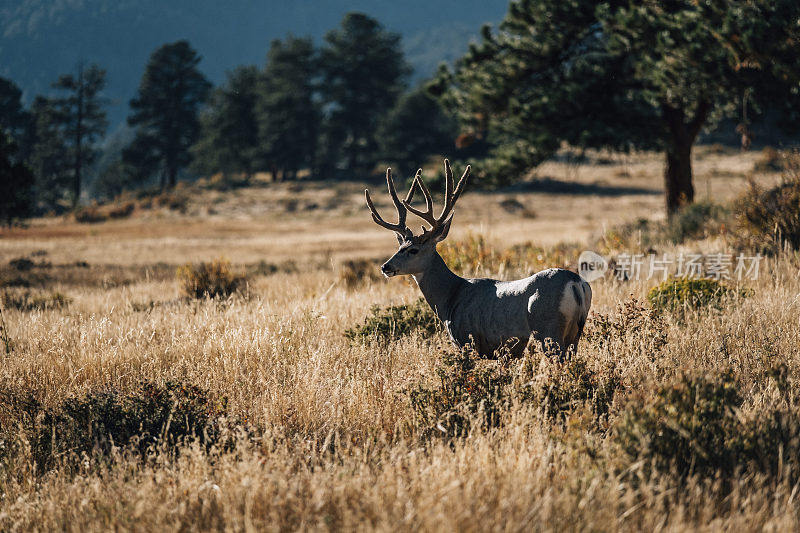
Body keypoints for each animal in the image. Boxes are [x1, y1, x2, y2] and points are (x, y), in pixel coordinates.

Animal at [366, 158, 592, 358]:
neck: (451, 297)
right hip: (574, 335)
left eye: (413, 250)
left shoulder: (467, 340)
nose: (386, 267)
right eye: (400, 246)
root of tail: (575, 283)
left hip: (548, 329)